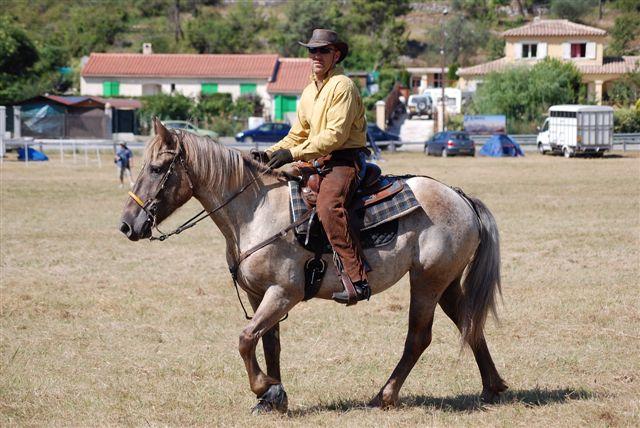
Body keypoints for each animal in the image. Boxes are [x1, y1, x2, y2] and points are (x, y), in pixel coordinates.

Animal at [120, 118, 508, 412]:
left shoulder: (283, 292)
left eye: (156, 168)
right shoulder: (259, 295)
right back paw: (493, 387)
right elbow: (268, 342)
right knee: (470, 324)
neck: (256, 209)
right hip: (447, 282)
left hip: (427, 280)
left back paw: (384, 396)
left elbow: (245, 339)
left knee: (418, 338)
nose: (126, 225)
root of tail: (459, 196)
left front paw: (263, 387)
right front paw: (273, 397)